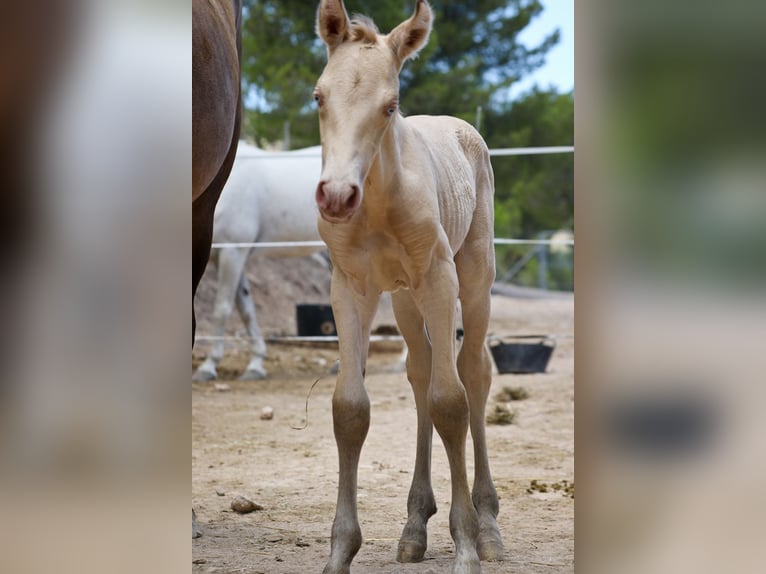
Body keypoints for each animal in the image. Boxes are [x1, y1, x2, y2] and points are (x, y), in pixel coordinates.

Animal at [193, 143, 325, 382]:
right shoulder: (227, 257)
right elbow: (246, 309)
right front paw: (255, 364)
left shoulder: (232, 252)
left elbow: (222, 309)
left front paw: (208, 366)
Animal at [313, 1, 504, 572]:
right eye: (318, 96)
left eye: (390, 106)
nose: (336, 196)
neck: (377, 199)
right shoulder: (350, 287)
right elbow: (351, 409)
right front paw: (340, 551)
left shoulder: (438, 278)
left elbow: (451, 402)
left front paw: (466, 546)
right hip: (401, 297)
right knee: (420, 372)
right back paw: (415, 524)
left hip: (474, 278)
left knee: (472, 372)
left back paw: (488, 524)